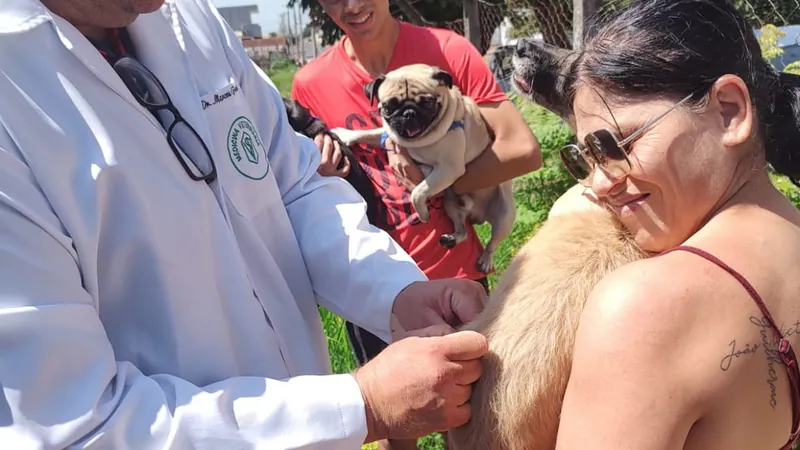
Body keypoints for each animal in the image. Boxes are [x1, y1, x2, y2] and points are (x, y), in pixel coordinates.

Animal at [328, 63, 516, 274]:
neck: (419, 141)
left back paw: (485, 260)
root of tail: (478, 216)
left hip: (504, 216)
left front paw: (423, 214)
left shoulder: (448, 169)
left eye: (427, 102)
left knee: (493, 241)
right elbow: (371, 133)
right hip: (451, 206)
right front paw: (347, 135)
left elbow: (417, 192)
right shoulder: (390, 134)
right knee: (463, 230)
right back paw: (452, 238)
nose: (409, 113)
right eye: (389, 106)